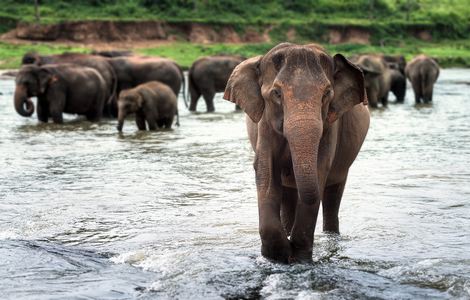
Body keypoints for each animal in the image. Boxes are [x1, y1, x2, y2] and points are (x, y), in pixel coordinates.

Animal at [224, 43, 370, 264]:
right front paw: (278, 256)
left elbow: (319, 169)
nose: (290, 249)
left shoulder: (330, 127)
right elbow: (266, 171)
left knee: (333, 195)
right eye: (277, 93)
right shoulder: (265, 123)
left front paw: (299, 259)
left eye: (326, 94)